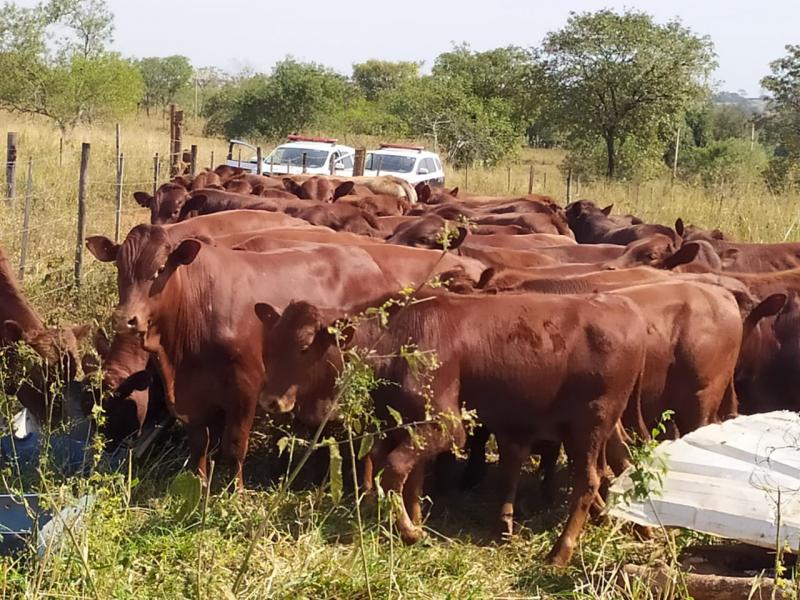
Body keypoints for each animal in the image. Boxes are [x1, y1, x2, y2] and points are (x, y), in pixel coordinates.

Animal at [253, 292, 648, 568]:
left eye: (304, 346)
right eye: (269, 345)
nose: (271, 401)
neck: (398, 340)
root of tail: (624, 308)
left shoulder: (445, 425)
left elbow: (393, 471)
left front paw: (410, 532)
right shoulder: (406, 425)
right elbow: (410, 478)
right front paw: (415, 521)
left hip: (588, 426)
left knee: (589, 482)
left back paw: (560, 553)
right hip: (607, 426)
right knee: (626, 463)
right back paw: (641, 528)